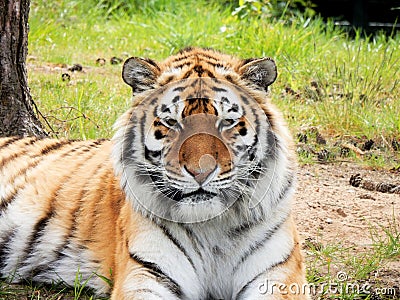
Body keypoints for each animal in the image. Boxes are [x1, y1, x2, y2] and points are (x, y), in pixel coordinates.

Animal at [0, 48, 310, 298]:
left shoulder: (278, 274)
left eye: (227, 122)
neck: (211, 226)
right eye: (171, 122)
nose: (201, 171)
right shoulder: (146, 274)